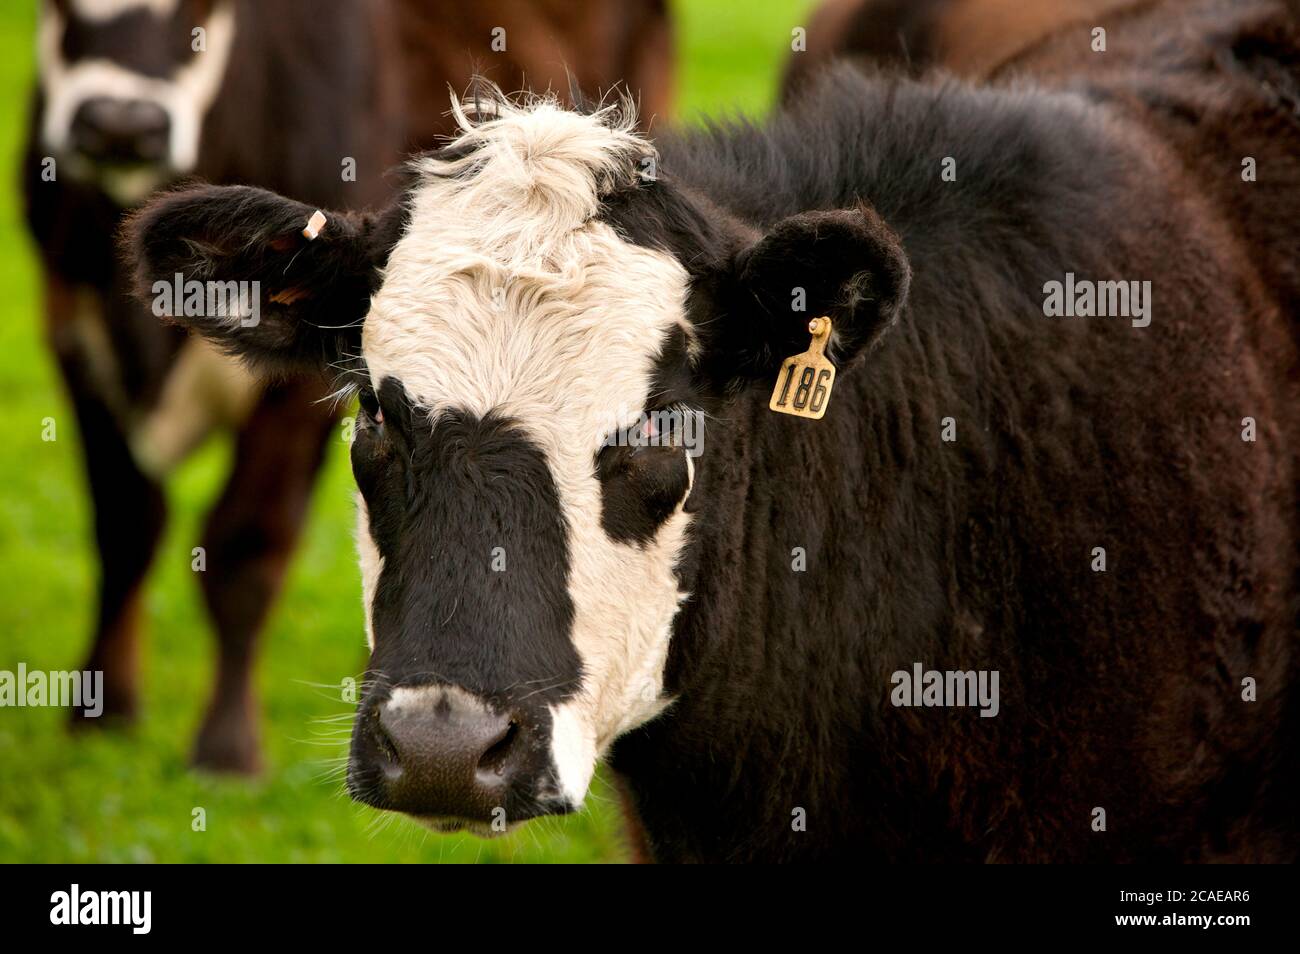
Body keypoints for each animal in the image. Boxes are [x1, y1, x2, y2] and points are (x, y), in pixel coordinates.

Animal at [25, 0, 676, 779]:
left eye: (206, 12)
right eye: (56, 10)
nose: (121, 123)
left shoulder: (298, 396)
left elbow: (245, 547)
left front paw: (226, 750)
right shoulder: (72, 330)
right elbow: (125, 529)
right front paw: (102, 713)